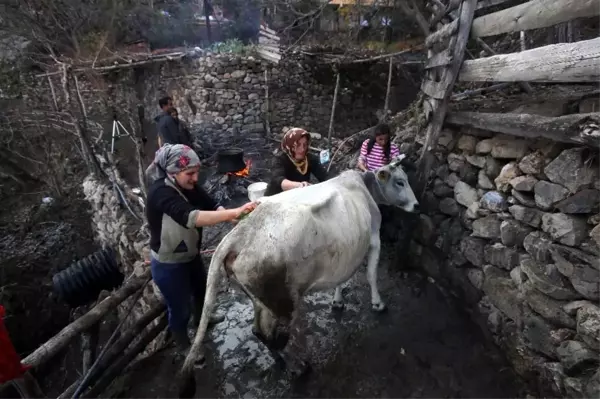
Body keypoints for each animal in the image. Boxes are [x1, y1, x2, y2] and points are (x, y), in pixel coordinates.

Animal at [180, 156, 420, 378]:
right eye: (400, 181)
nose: (417, 206)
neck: (364, 187)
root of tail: (241, 232)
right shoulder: (374, 238)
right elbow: (371, 275)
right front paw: (378, 304)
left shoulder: (348, 250)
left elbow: (342, 278)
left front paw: (338, 300)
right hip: (284, 302)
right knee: (275, 334)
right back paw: (299, 366)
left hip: (259, 298)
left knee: (258, 331)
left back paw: (282, 360)